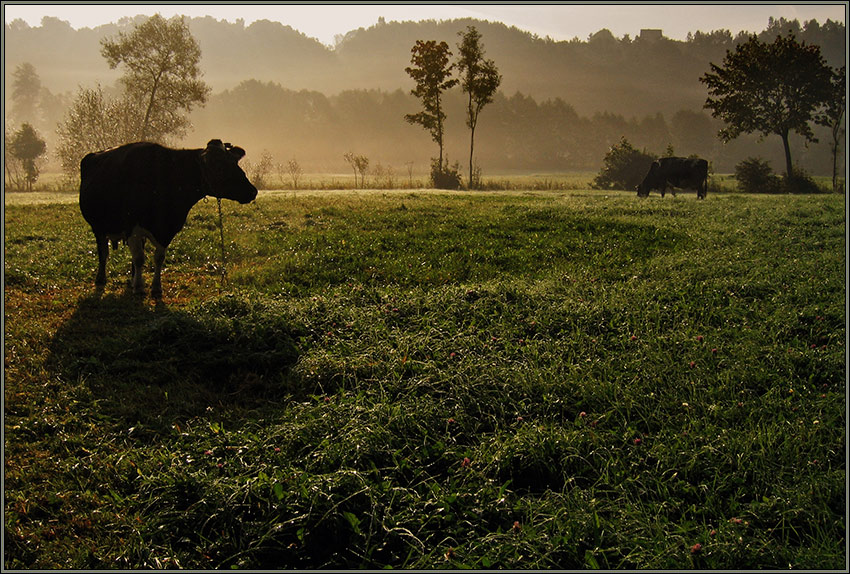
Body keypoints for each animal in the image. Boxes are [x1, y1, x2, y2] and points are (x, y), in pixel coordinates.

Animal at [80, 139, 258, 296]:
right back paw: (101, 278)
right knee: (103, 252)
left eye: (234, 162)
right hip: (98, 227)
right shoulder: (132, 227)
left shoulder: (168, 229)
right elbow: (139, 258)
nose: (253, 191)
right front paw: (139, 287)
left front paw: (156, 288)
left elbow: (158, 258)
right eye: (220, 165)